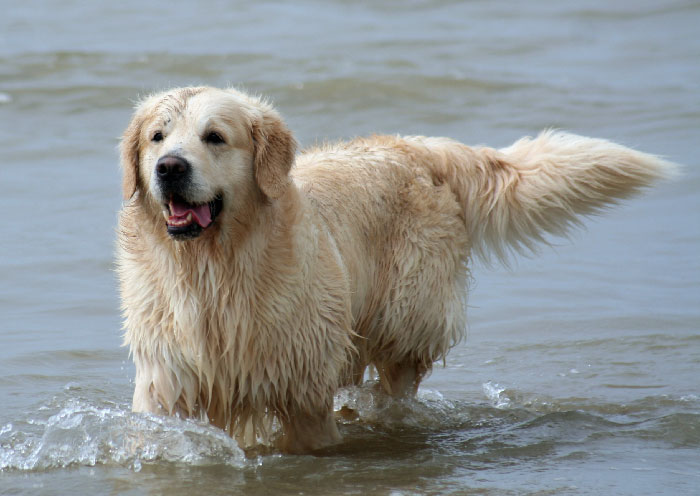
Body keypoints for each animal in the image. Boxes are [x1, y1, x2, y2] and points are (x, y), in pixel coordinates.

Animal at [116, 86, 680, 454]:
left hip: (404, 322)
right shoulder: (167, 381)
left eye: (214, 136)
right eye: (157, 137)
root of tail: (414, 145)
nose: (170, 167)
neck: (214, 270)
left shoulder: (301, 391)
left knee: (396, 386)